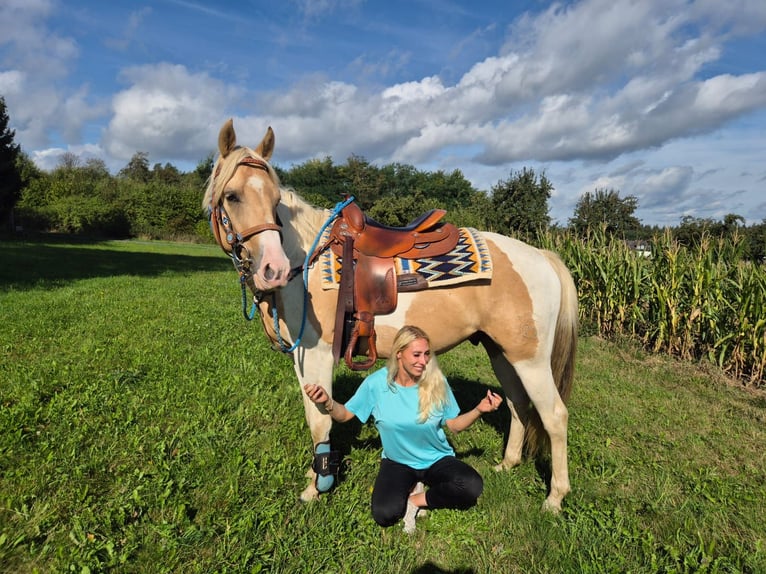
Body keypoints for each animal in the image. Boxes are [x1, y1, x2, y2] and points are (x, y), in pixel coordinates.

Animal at [203, 119, 578, 512]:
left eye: (275, 201)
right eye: (232, 196)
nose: (272, 270)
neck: (305, 260)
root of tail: (542, 256)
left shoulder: (316, 353)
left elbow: (319, 420)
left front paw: (315, 487)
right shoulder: (301, 358)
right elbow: (315, 412)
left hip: (530, 359)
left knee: (554, 415)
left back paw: (555, 497)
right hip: (502, 352)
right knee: (518, 403)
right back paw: (508, 463)